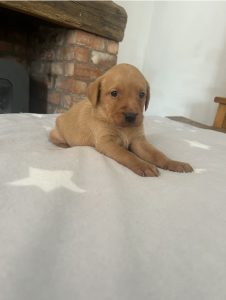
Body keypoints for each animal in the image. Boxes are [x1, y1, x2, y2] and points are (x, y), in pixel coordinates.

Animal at [49, 63, 192, 176]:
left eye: (142, 94)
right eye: (114, 93)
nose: (131, 116)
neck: (123, 128)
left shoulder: (139, 141)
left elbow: (157, 154)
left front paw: (174, 163)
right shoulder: (106, 142)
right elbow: (127, 154)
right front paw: (143, 165)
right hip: (57, 132)